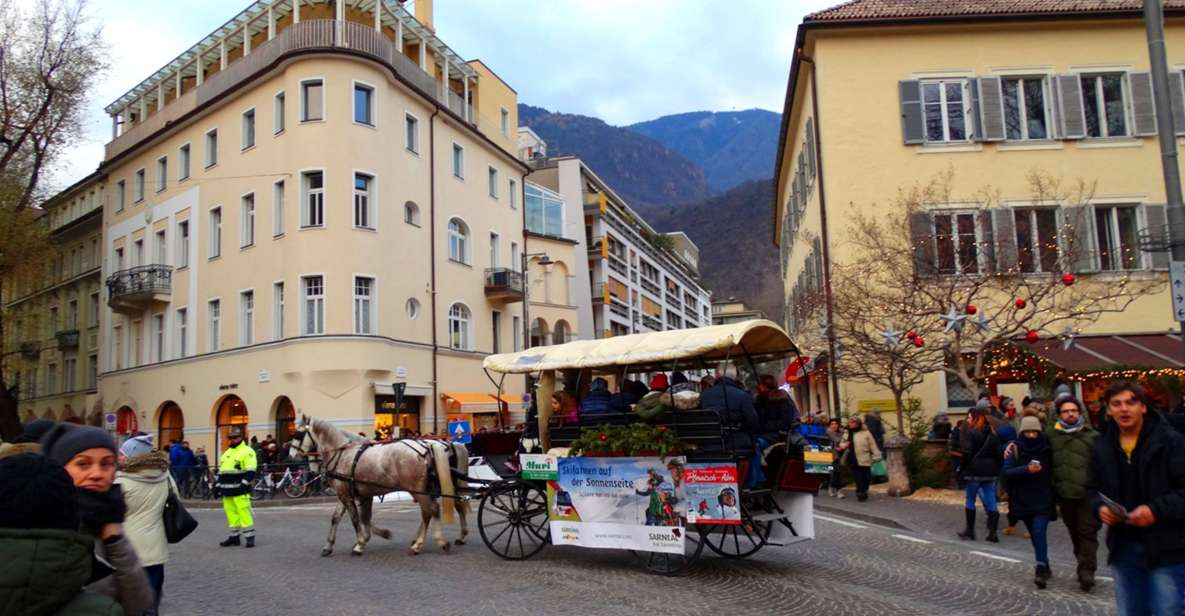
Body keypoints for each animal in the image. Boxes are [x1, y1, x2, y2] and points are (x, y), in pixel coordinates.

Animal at [289, 416, 469, 556]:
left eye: (298, 434)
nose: (291, 456)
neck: (343, 454)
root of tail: (428, 447)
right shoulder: (350, 495)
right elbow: (341, 518)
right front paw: (329, 546)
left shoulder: (348, 496)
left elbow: (356, 519)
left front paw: (361, 543)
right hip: (424, 490)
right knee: (433, 511)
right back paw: (423, 541)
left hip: (418, 490)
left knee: (432, 509)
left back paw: (431, 542)